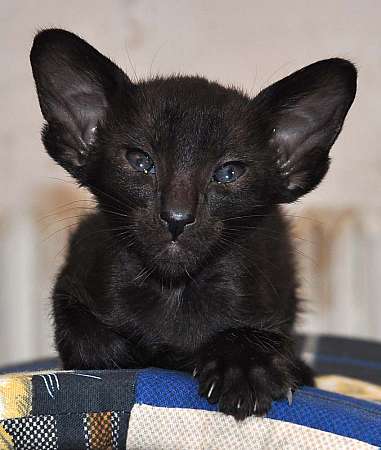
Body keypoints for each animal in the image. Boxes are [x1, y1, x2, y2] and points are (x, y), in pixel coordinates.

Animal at [30, 29, 356, 420]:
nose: (177, 217)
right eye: (140, 161)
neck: (174, 293)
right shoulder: (78, 266)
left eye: (228, 173)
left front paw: (244, 369)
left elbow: (264, 336)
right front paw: (127, 352)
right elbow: (83, 338)